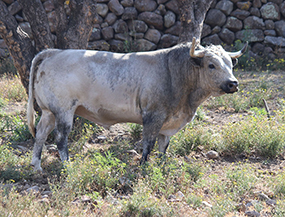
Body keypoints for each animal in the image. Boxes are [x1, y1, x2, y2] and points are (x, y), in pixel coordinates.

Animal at [26, 38, 246, 172]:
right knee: (61, 138)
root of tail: (54, 52)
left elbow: (163, 146)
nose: (233, 83)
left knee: (41, 134)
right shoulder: (153, 117)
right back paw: (67, 165)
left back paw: (36, 165)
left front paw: (161, 166)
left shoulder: (168, 122)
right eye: (211, 65)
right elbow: (148, 144)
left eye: (230, 64)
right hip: (64, 111)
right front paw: (143, 166)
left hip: (49, 112)